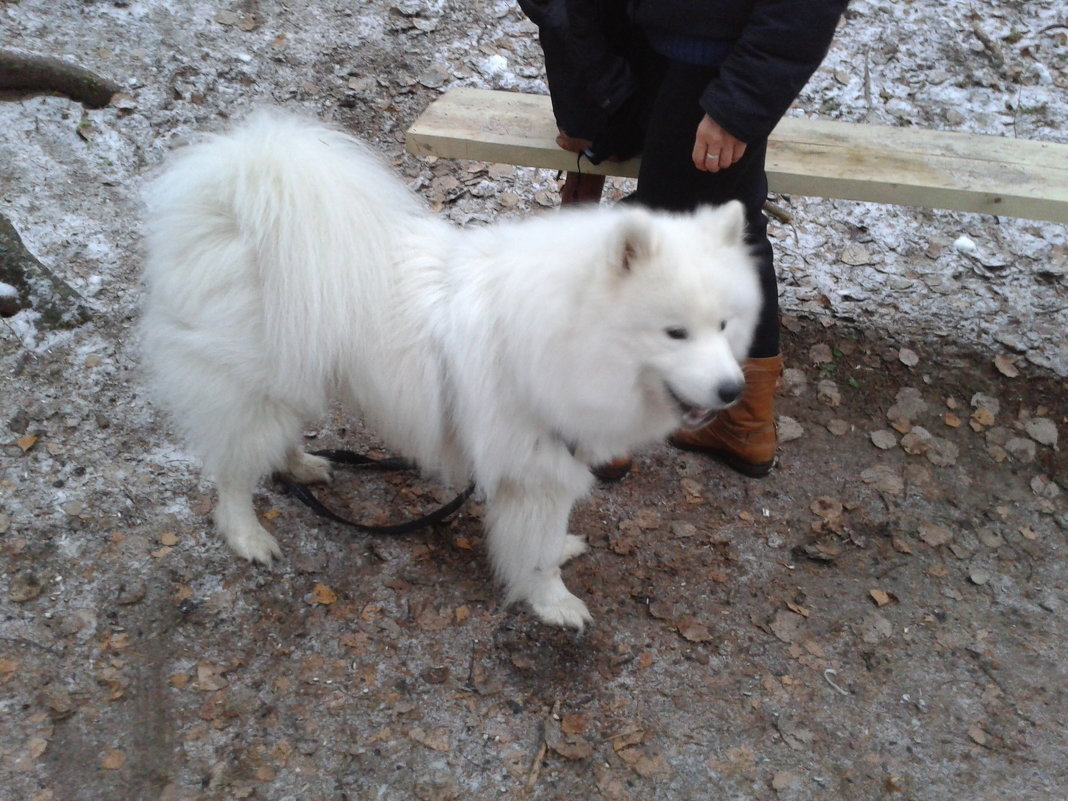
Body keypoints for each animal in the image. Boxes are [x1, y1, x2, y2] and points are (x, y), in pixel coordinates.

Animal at [142, 111, 760, 627]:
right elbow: (536, 553)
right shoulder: (534, 469)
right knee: (232, 471)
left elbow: (545, 536)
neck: (562, 334)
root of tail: (232, 204)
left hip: (296, 372)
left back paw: (301, 466)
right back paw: (247, 535)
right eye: (675, 333)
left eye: (724, 325)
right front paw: (554, 603)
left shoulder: (551, 461)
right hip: (253, 385)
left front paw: (559, 552)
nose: (733, 390)